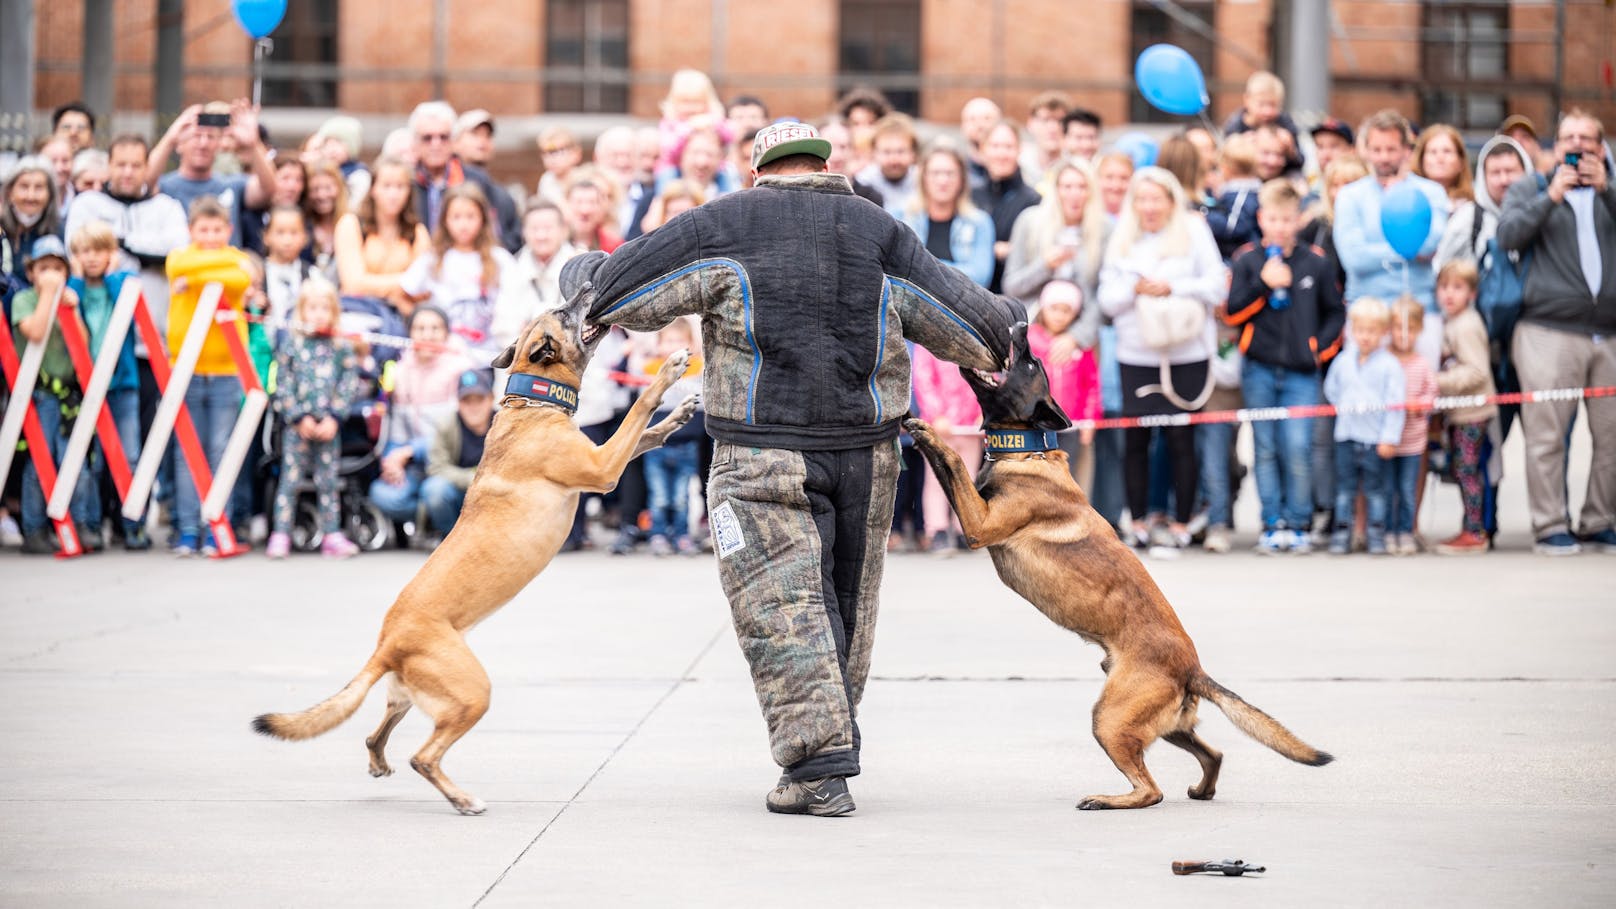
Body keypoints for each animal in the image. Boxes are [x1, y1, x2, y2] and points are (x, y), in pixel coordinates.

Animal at [255, 284, 698, 815]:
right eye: (563, 312)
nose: (588, 288)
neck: (534, 403)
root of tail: (386, 645)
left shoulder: (606, 458)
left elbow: (645, 433)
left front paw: (679, 415)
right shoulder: (602, 467)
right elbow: (636, 415)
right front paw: (668, 372)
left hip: (412, 694)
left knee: (376, 734)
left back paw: (381, 763)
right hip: (473, 692)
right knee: (424, 756)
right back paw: (462, 799)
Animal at [904, 320, 1331, 805]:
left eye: (1031, 364)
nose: (1021, 324)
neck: (1027, 450)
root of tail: (1193, 669)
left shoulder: (979, 523)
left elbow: (954, 460)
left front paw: (927, 430)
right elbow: (948, 470)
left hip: (1109, 718)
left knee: (1151, 790)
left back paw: (1107, 800)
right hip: (1158, 723)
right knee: (1212, 754)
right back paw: (1200, 791)